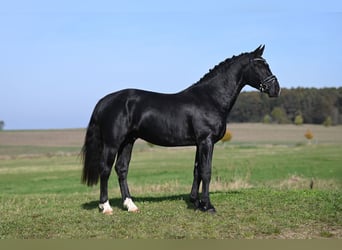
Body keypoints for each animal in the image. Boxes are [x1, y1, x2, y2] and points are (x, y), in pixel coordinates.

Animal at [83, 45, 280, 213]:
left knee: (122, 169)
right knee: (105, 169)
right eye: (260, 65)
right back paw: (106, 207)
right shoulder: (206, 141)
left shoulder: (199, 143)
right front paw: (208, 206)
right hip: (112, 143)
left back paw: (130, 205)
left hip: (128, 141)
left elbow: (197, 171)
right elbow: (206, 171)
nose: (275, 89)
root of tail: (106, 100)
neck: (210, 98)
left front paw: (196, 202)